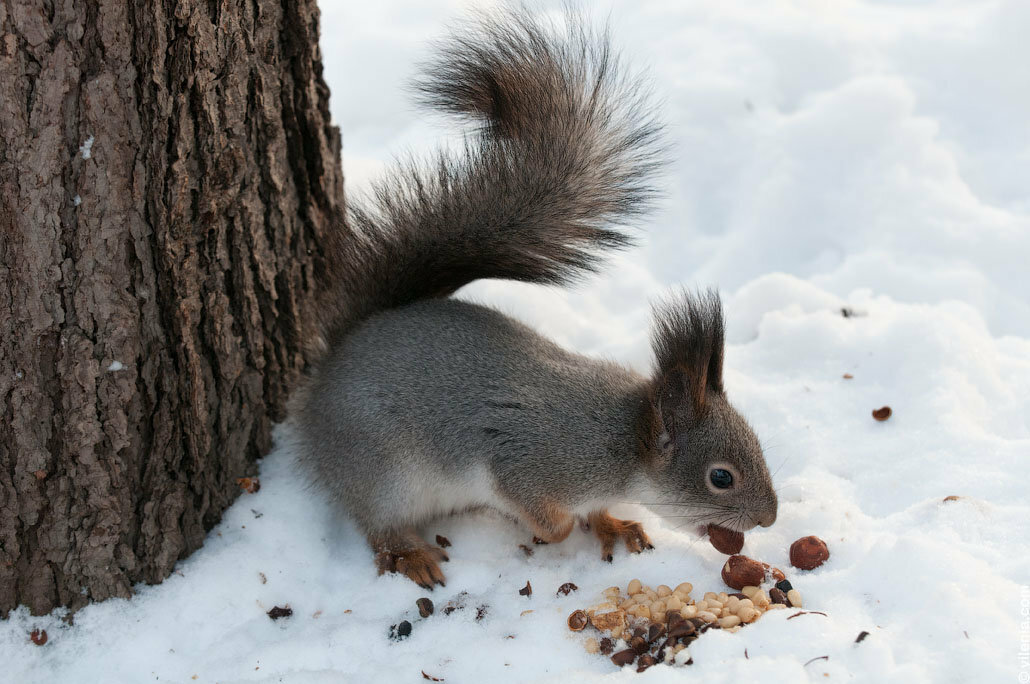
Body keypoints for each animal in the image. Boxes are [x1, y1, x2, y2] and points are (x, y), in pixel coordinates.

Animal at [288, 8, 774, 589]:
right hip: (384, 471)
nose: (770, 517)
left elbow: (596, 511)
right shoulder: (528, 459)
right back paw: (411, 555)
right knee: (377, 526)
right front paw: (550, 533)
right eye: (720, 477)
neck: (623, 441)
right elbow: (543, 513)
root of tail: (330, 371)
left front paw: (612, 523)